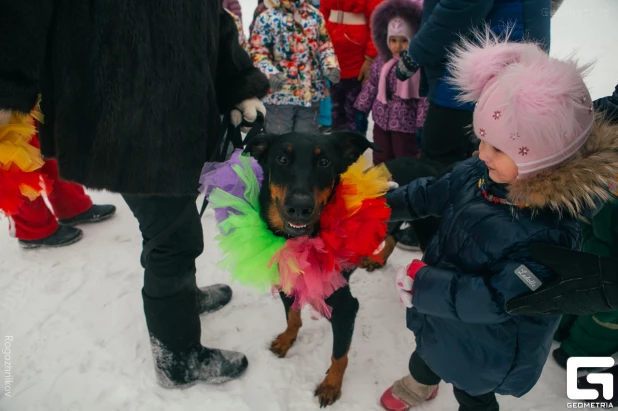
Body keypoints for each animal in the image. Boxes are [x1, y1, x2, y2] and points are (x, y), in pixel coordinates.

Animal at [244, 133, 380, 408]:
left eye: (325, 161)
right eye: (281, 159)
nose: (299, 207)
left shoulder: (346, 309)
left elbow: (339, 354)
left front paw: (331, 385)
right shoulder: (286, 283)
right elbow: (293, 317)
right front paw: (286, 340)